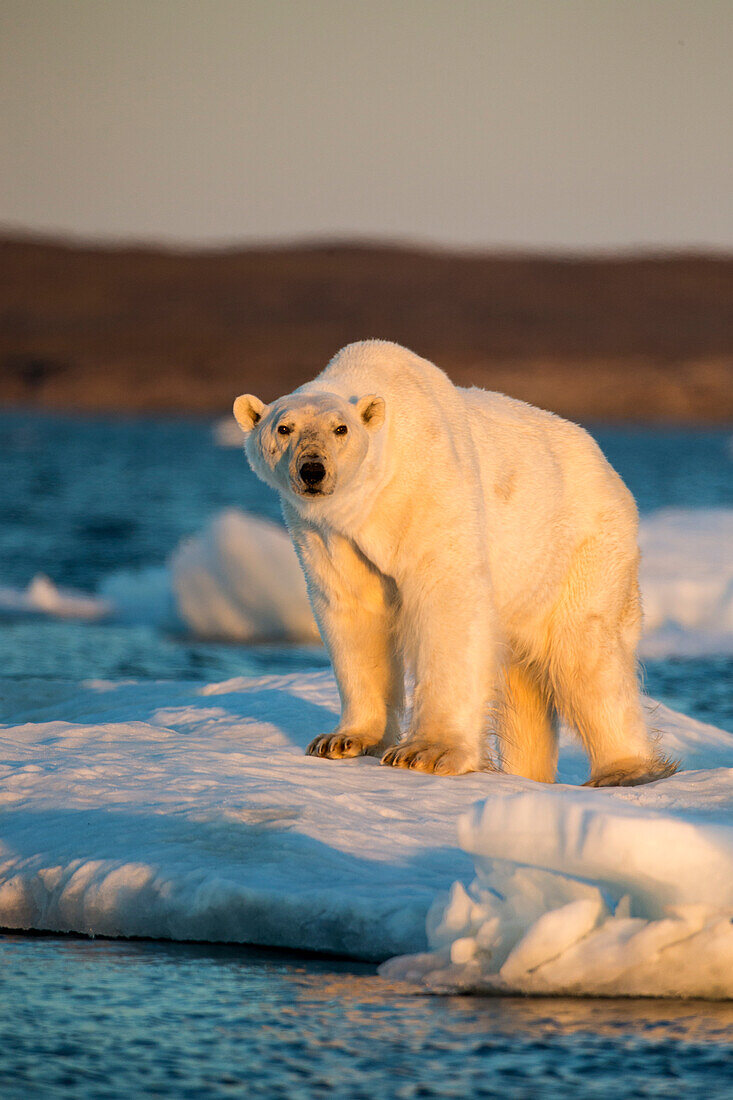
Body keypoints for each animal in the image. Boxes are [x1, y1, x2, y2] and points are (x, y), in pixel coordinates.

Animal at [234, 338, 673, 787]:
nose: (313, 470)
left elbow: (446, 601)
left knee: (585, 654)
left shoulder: (428, 490)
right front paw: (342, 740)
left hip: (581, 548)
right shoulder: (327, 533)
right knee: (525, 679)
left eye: (341, 429)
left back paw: (623, 770)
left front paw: (426, 752)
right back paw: (528, 773)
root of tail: (610, 470)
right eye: (284, 428)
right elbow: (354, 609)